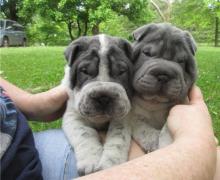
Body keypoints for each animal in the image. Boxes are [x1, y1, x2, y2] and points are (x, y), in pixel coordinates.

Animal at [62, 34, 134, 175]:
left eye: (121, 71)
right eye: (84, 71)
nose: (104, 97)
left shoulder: (123, 115)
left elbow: (118, 136)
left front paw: (111, 163)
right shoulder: (73, 115)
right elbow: (84, 133)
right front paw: (90, 161)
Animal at [131, 22, 198, 152]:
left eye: (181, 60)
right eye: (147, 53)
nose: (163, 76)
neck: (155, 102)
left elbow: (167, 128)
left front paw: (164, 144)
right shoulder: (130, 115)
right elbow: (141, 126)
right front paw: (152, 140)